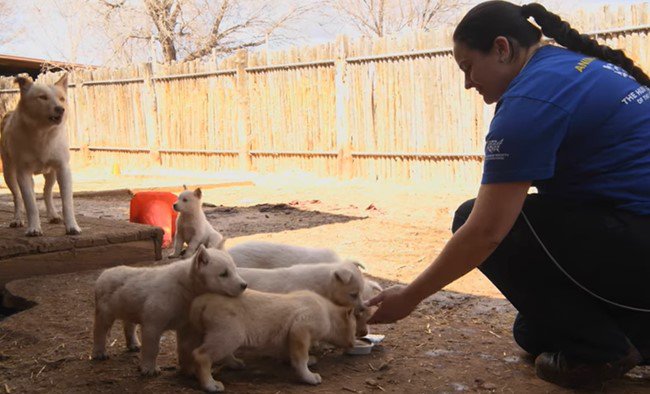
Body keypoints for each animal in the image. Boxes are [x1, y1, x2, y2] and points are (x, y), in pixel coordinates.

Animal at [0, 72, 80, 235]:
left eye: (62, 98)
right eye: (42, 97)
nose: (60, 109)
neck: (43, 133)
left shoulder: (63, 169)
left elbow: (67, 203)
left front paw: (72, 226)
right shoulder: (23, 173)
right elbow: (30, 204)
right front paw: (34, 228)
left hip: (51, 173)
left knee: (46, 192)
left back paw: (53, 215)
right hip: (8, 173)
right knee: (17, 197)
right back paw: (17, 219)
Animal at [93, 243, 248, 376]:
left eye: (234, 270)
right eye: (223, 274)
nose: (244, 285)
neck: (185, 287)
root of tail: (104, 273)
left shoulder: (186, 326)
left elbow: (185, 347)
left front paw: (189, 369)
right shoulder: (153, 323)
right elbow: (152, 348)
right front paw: (149, 369)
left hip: (129, 307)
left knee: (129, 324)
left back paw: (133, 344)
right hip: (104, 311)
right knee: (100, 330)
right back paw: (99, 353)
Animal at [187, 290, 356, 390]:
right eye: (354, 330)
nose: (353, 343)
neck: (328, 312)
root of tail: (202, 301)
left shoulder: (290, 335)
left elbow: (291, 353)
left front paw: (309, 361)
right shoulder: (300, 328)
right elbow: (300, 357)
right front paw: (309, 376)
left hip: (219, 334)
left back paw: (233, 364)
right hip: (230, 333)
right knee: (201, 355)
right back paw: (210, 384)